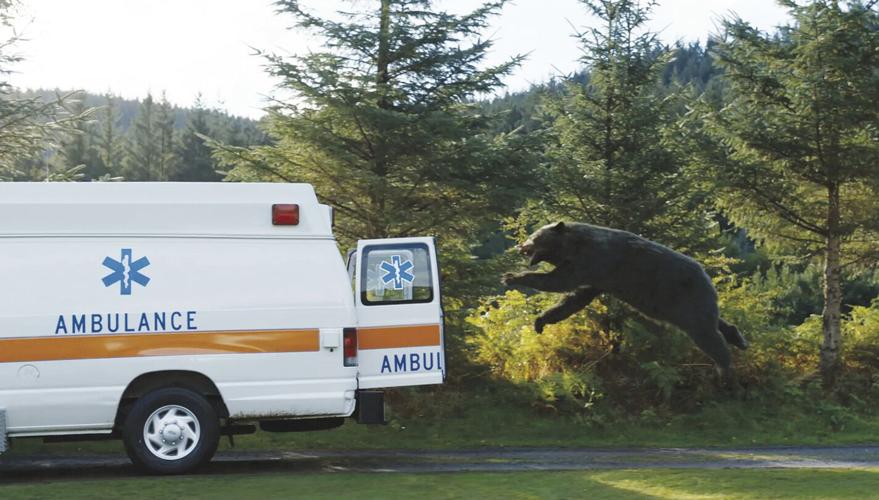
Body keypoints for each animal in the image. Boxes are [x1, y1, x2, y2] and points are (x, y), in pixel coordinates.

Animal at [501, 221, 748, 374]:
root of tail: (708, 276)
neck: (574, 246)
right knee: (715, 323)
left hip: (685, 299)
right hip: (689, 305)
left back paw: (724, 367)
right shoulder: (596, 278)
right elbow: (574, 298)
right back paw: (738, 338)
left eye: (534, 236)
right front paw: (541, 320)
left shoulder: (594, 260)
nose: (520, 245)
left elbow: (559, 282)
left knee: (707, 336)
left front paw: (511, 276)